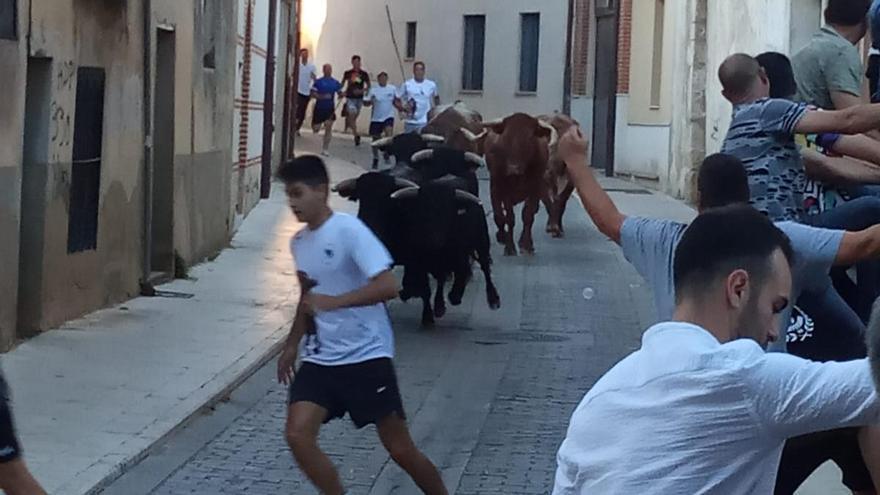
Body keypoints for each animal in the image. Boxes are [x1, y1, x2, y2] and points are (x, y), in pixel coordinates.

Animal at [460, 113, 556, 256]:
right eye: (506, 138)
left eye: (529, 138)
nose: (513, 169)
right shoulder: (504, 190)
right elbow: (508, 218)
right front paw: (509, 247)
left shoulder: (535, 189)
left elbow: (528, 215)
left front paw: (526, 245)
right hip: (496, 188)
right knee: (499, 214)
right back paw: (502, 236)